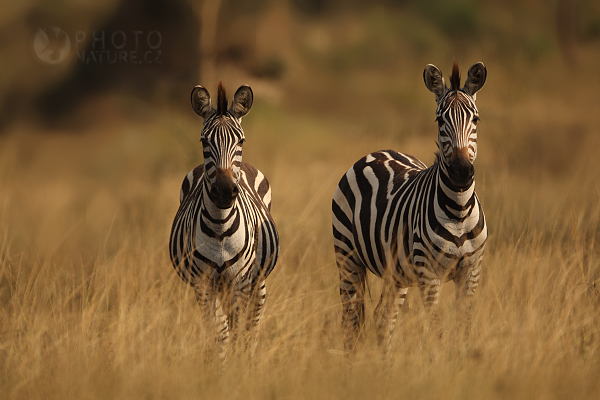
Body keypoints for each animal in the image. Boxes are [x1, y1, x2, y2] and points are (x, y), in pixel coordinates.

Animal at [170, 81, 280, 362]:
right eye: (204, 141)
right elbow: (219, 334)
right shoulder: (203, 283)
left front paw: (238, 367)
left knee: (252, 324)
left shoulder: (240, 280)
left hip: (257, 282)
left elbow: (239, 330)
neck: (220, 227)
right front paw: (220, 369)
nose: (223, 191)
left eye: (241, 140)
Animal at [330, 61, 490, 354]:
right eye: (440, 121)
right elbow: (438, 332)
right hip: (347, 258)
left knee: (383, 320)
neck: (459, 211)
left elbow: (463, 329)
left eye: (475, 120)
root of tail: (377, 152)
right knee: (351, 323)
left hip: (396, 274)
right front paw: (442, 362)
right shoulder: (430, 274)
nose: (461, 172)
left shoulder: (471, 272)